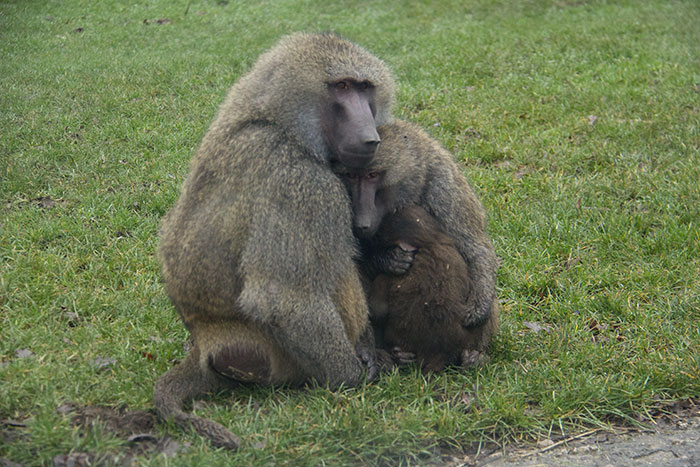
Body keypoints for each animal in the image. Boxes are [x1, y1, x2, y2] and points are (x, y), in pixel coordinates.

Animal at [153, 33, 396, 450]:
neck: (280, 124)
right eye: (341, 87)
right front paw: (354, 375)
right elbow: (282, 299)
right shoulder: (299, 182)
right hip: (272, 357)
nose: (370, 138)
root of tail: (203, 340)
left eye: (365, 88)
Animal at [333, 120, 499, 371]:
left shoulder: (442, 181)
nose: (362, 221)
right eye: (350, 176)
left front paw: (480, 306)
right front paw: (387, 259)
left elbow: (475, 247)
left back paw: (472, 357)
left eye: (372, 175)